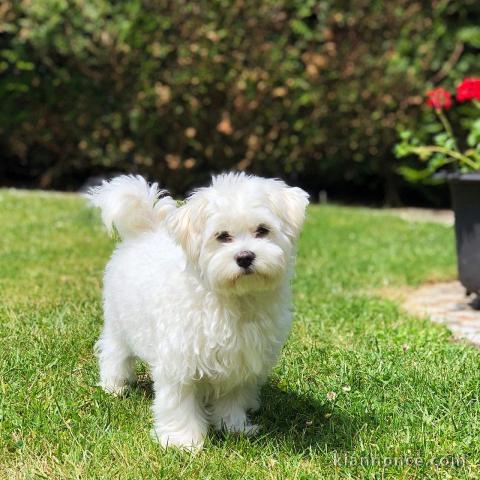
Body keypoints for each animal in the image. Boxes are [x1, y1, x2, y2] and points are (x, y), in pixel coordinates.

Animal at [88, 173, 310, 450]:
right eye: (222, 236)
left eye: (262, 230)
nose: (245, 257)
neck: (234, 298)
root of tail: (146, 232)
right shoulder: (179, 359)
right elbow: (179, 401)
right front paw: (183, 441)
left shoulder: (240, 359)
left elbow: (232, 397)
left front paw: (234, 427)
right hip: (119, 321)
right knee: (114, 351)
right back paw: (114, 386)